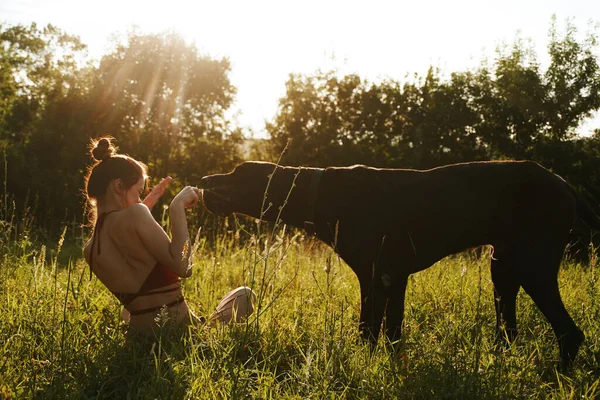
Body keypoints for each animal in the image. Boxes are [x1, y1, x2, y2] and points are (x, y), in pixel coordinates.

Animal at [199, 160, 596, 372]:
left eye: (237, 173)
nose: (204, 180)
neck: (322, 193)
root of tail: (565, 185)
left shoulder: (376, 277)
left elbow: (368, 331)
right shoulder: (394, 277)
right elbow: (391, 332)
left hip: (533, 267)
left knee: (569, 332)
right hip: (502, 267)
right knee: (510, 331)